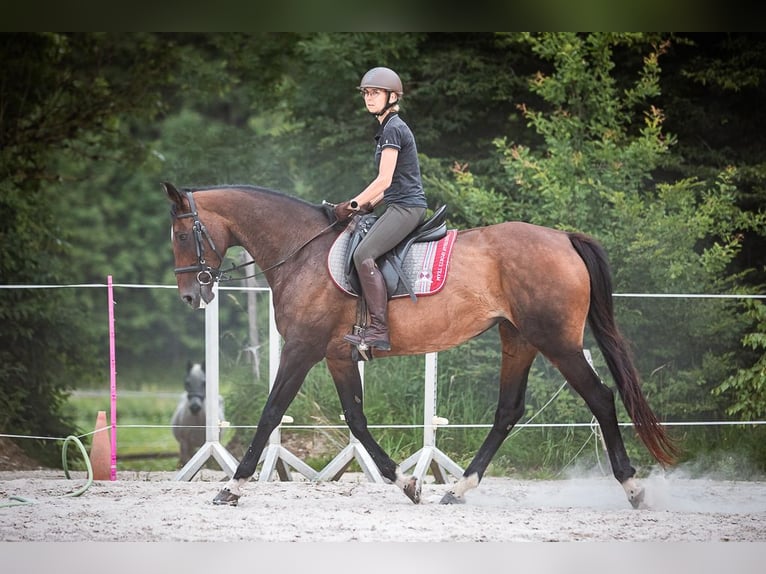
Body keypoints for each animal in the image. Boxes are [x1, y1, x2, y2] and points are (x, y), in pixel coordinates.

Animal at [162, 181, 680, 508]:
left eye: (184, 234)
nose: (190, 295)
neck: (302, 251)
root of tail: (564, 239)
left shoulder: (301, 349)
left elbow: (271, 413)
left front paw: (233, 487)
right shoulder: (336, 355)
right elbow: (356, 420)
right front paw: (407, 482)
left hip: (557, 342)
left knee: (601, 398)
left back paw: (632, 489)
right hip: (518, 339)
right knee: (508, 411)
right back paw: (459, 488)